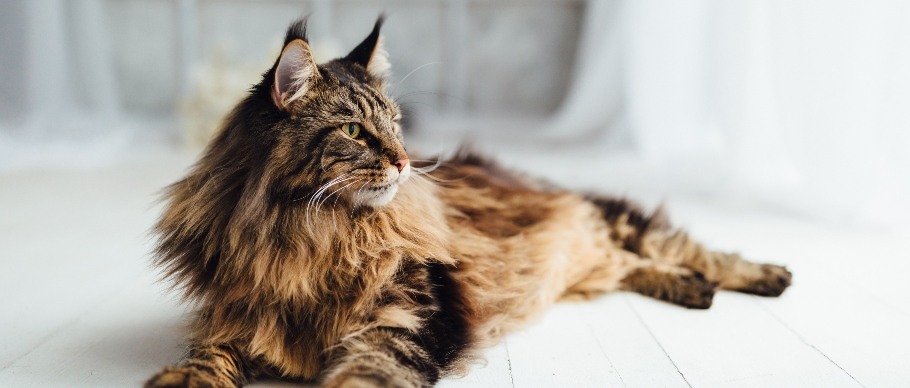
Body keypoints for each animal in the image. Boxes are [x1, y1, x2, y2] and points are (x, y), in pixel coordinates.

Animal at [146, 16, 796, 386]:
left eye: (396, 124)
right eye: (354, 131)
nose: (405, 161)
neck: (308, 235)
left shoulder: (411, 314)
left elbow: (369, 372)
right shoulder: (238, 315)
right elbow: (206, 358)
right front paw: (181, 380)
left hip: (612, 219)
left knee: (691, 249)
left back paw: (765, 276)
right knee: (632, 266)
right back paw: (692, 289)